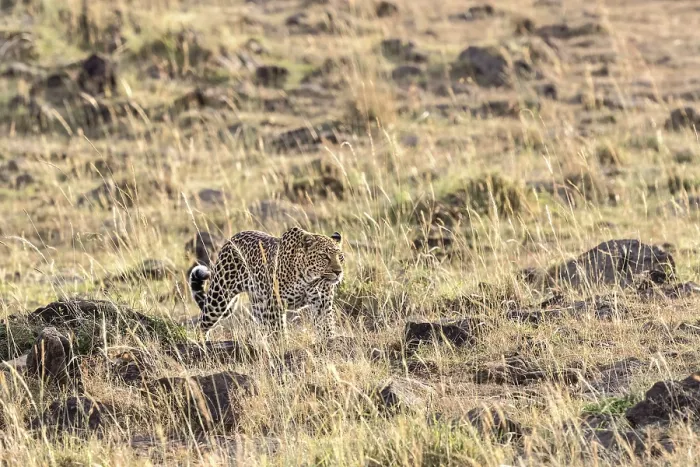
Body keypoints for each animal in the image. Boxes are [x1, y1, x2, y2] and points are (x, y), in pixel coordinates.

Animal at [189, 226, 345, 338]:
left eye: (340, 257)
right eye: (324, 256)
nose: (338, 272)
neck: (309, 279)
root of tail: (231, 239)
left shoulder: (322, 303)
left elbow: (326, 326)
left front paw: (328, 344)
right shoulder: (275, 304)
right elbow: (279, 331)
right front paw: (282, 348)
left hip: (259, 303)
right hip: (219, 298)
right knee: (202, 323)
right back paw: (203, 346)